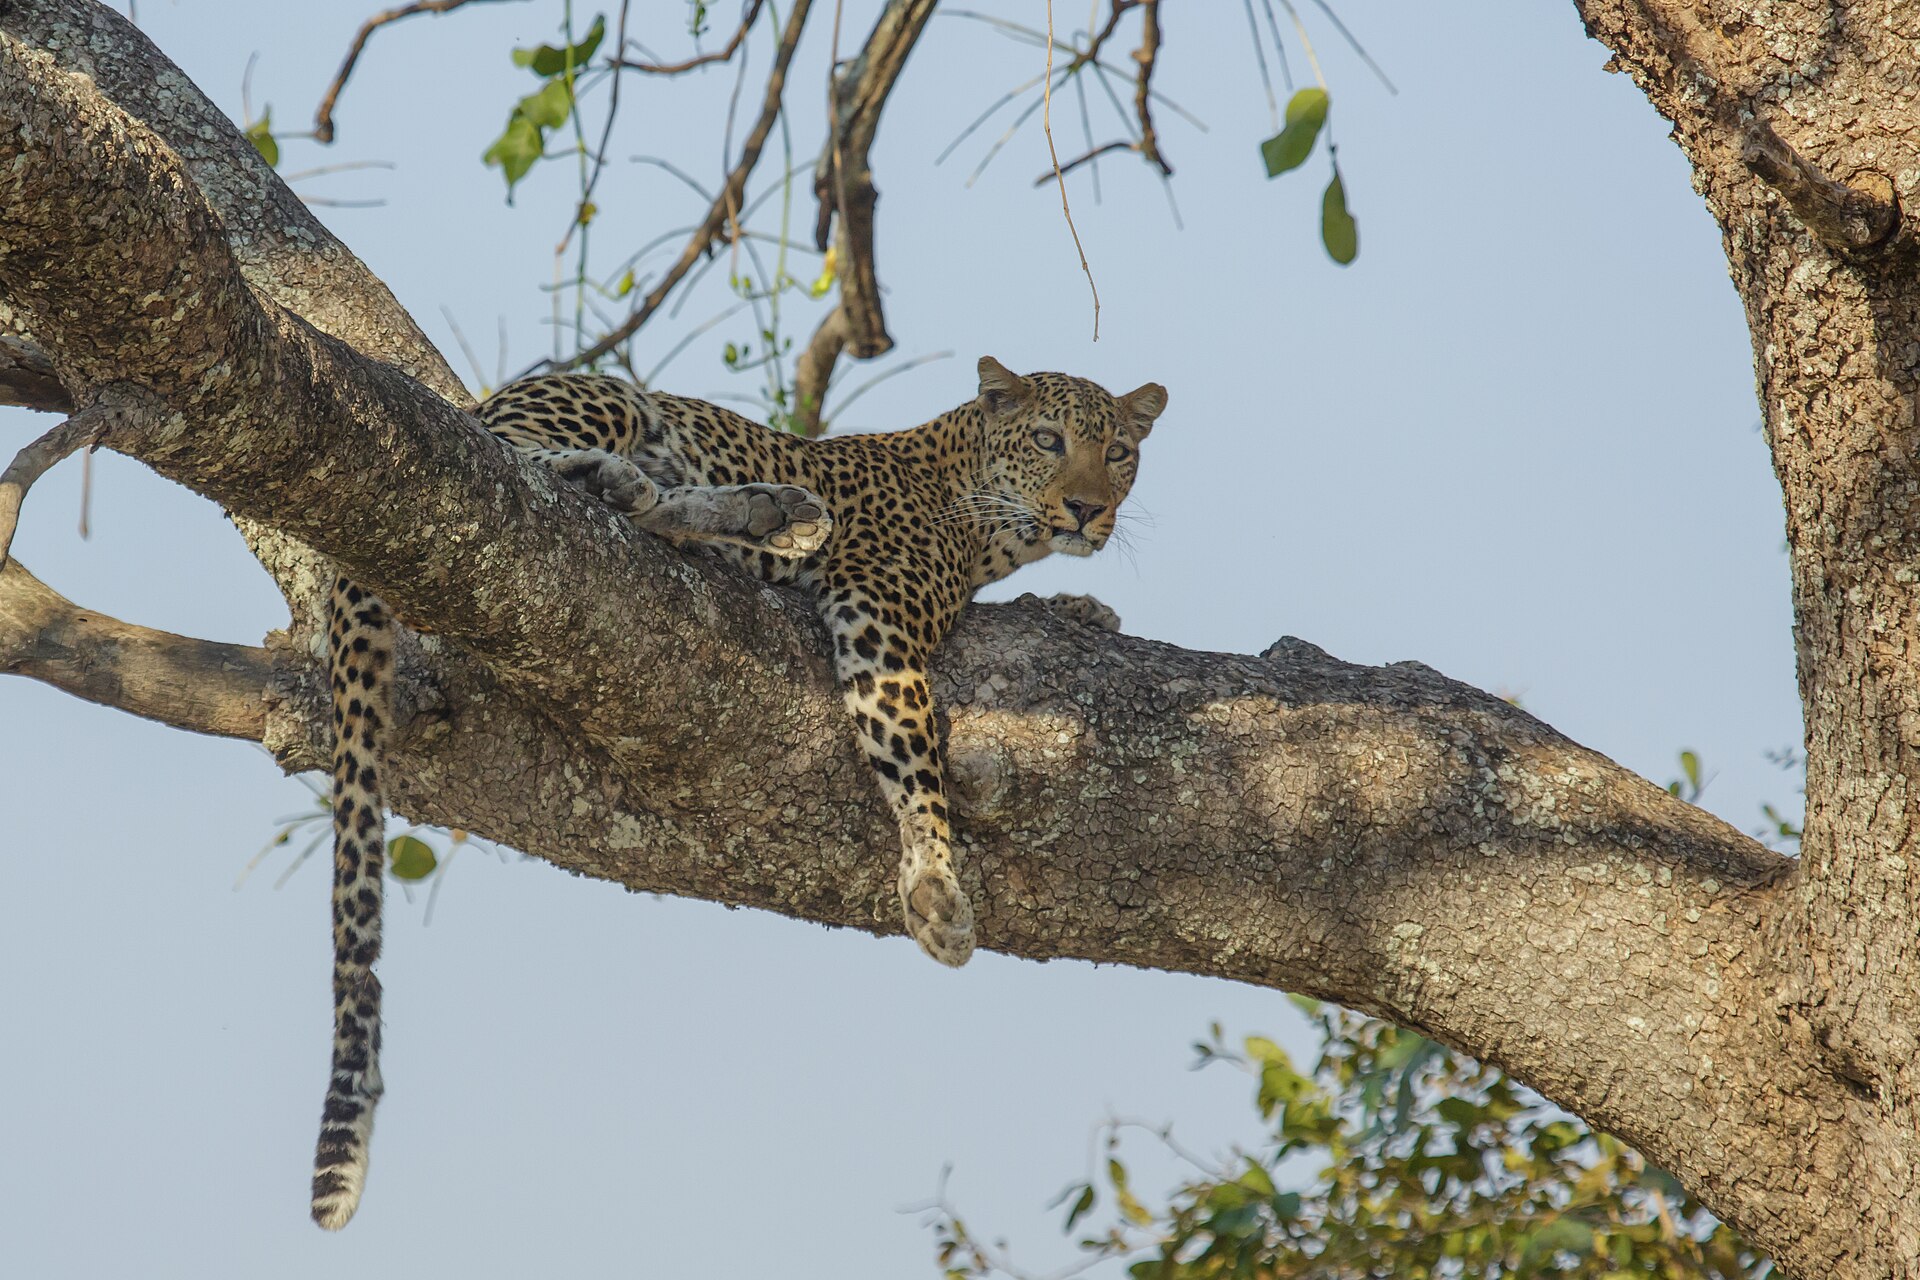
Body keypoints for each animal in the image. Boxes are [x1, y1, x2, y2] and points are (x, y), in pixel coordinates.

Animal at [309, 355, 1168, 1229]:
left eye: (1120, 453)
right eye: (1048, 440)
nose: (1088, 509)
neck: (983, 523)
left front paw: (1083, 610)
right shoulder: (879, 615)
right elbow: (911, 745)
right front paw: (934, 882)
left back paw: (762, 511)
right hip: (604, 397)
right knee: (512, 460)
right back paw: (679, 494)